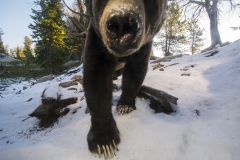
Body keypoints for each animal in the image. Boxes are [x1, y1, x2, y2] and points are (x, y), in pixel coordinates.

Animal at [82, 0, 167, 158]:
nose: (121, 21)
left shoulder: (143, 46)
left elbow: (135, 73)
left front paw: (125, 106)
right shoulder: (96, 41)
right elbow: (96, 82)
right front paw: (105, 142)